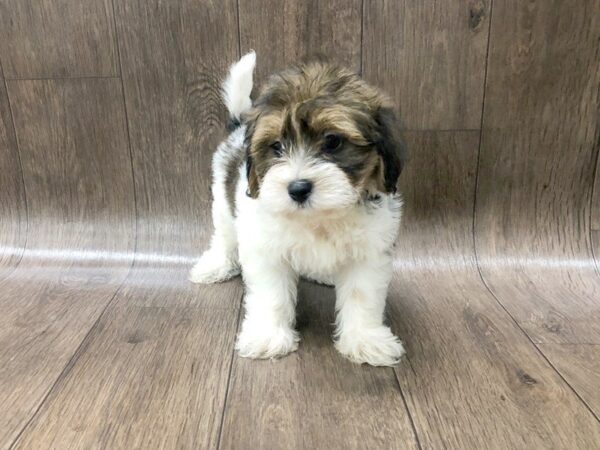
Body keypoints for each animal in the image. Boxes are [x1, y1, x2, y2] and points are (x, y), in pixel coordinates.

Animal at [191, 51, 408, 366]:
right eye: (277, 147)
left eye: (332, 141)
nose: (298, 188)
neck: (318, 218)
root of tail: (238, 124)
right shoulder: (265, 247)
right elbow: (271, 295)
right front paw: (268, 336)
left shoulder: (369, 250)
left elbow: (362, 295)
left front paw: (366, 339)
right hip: (221, 201)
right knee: (224, 235)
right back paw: (216, 264)